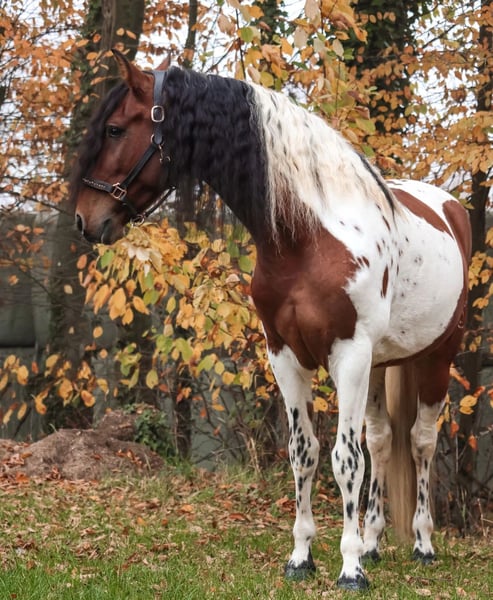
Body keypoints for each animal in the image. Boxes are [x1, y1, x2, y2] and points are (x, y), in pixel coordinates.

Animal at [71, 49, 471, 591]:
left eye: (114, 129)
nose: (85, 219)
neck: (309, 235)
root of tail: (449, 206)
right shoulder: (284, 354)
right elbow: (304, 453)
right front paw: (303, 557)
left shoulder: (349, 354)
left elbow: (345, 460)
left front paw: (349, 568)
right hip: (382, 365)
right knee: (384, 442)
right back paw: (374, 542)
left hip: (436, 358)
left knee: (421, 443)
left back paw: (423, 545)